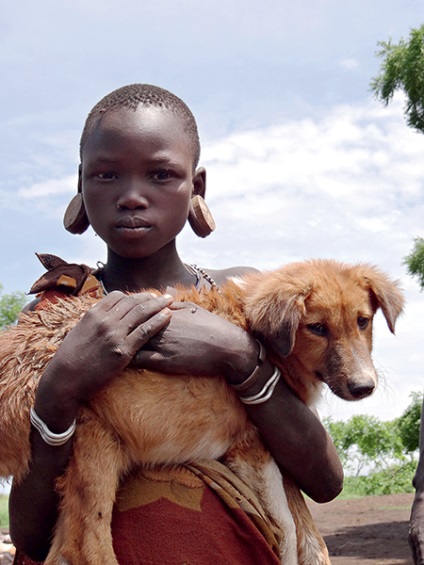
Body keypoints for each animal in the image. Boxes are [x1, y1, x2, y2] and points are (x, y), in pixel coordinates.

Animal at [0, 260, 404, 564]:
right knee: (82, 547)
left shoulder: (273, 449)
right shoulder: (252, 448)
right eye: (317, 328)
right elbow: (288, 530)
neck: (256, 334)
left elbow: (309, 534)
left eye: (363, 321)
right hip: (93, 444)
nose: (363, 386)